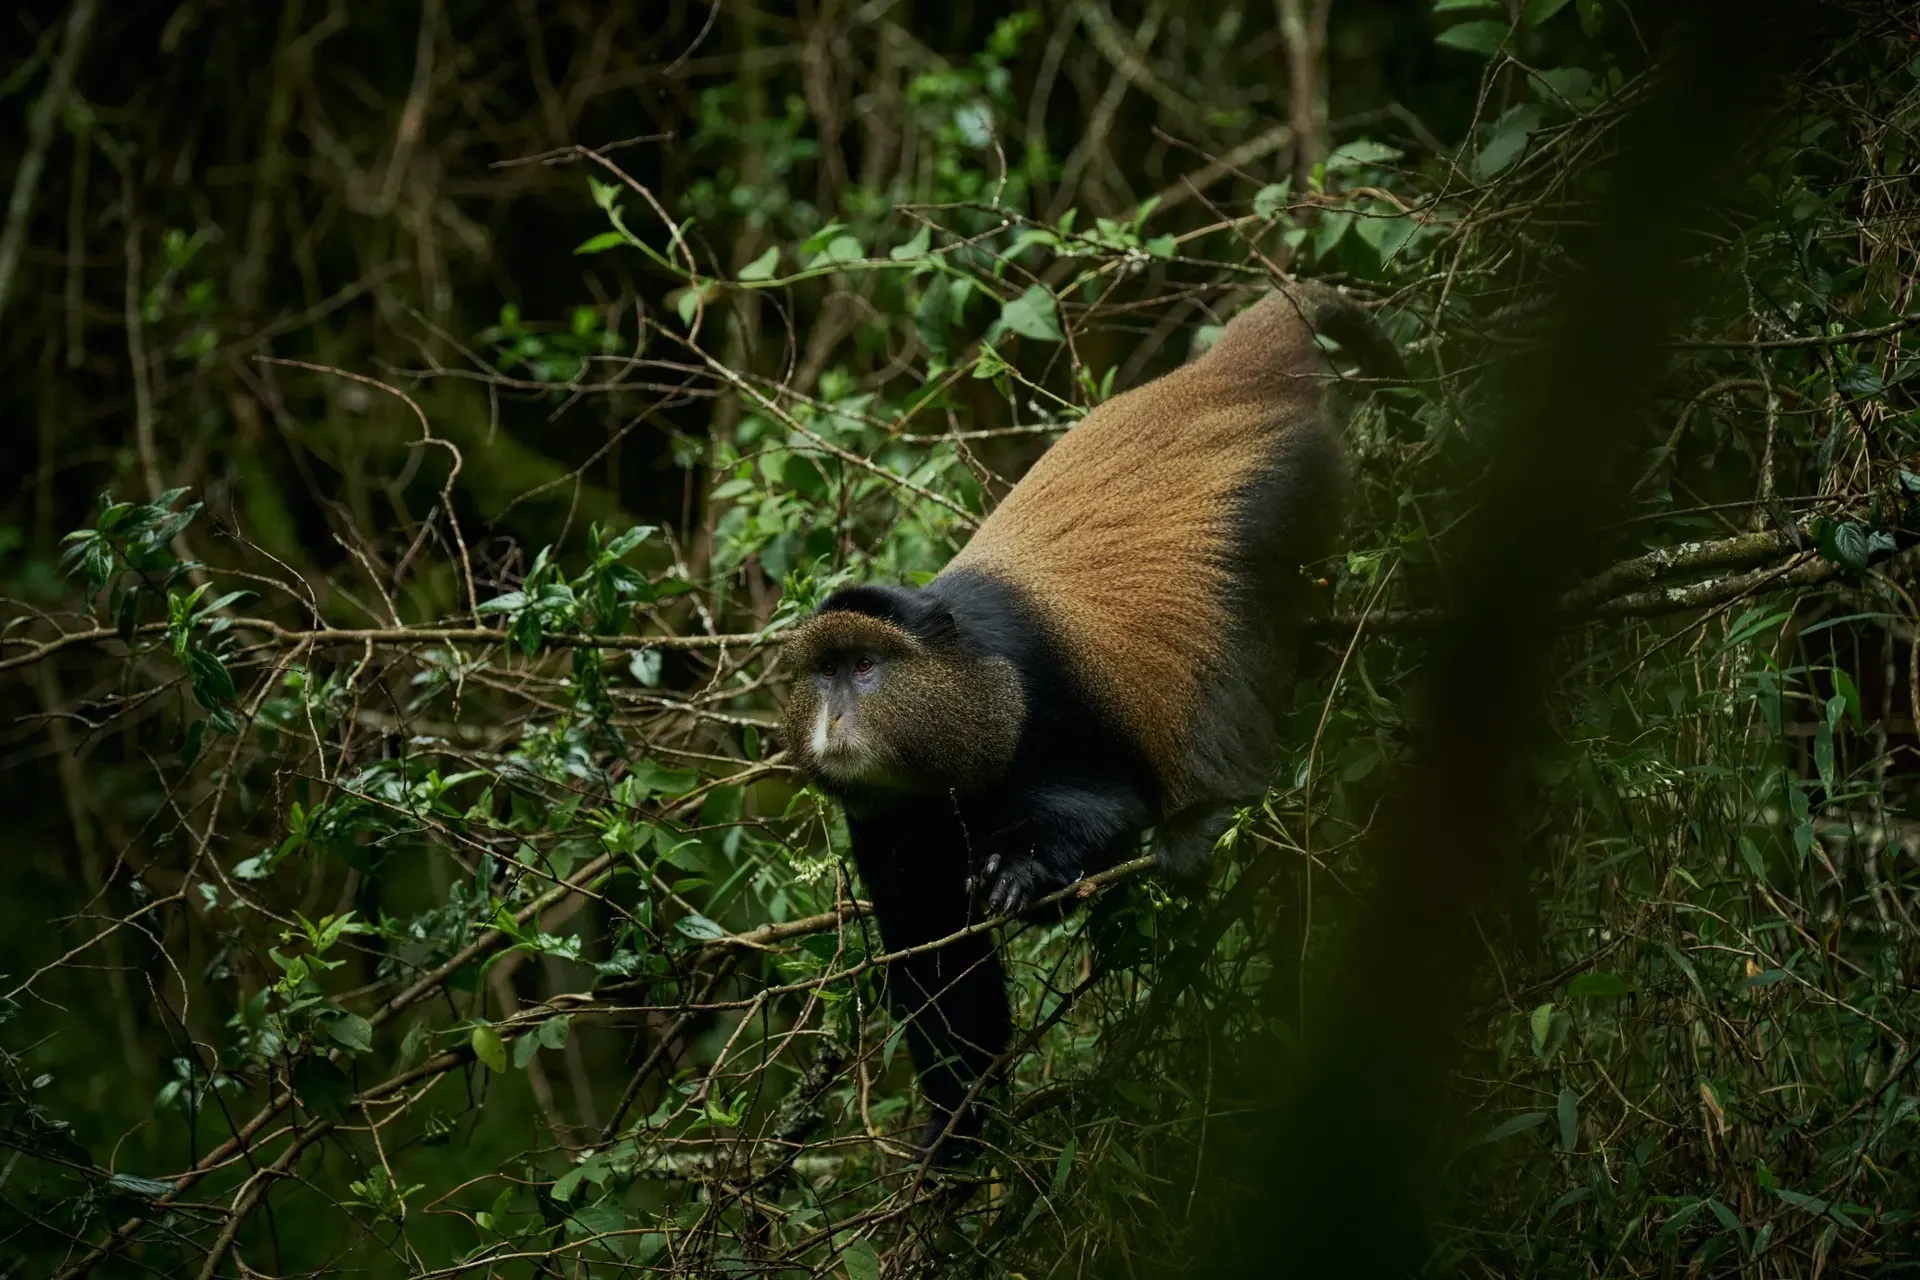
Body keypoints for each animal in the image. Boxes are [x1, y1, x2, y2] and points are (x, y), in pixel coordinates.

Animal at [778, 280, 1399, 1161]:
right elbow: (944, 974)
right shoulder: (888, 829)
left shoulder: (1041, 698)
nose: (832, 720)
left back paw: (1209, 810)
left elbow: (1105, 802)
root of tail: (1225, 374)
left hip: (1286, 490)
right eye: (824, 673)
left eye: (865, 668)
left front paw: (1031, 872)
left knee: (1234, 630)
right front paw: (957, 1135)